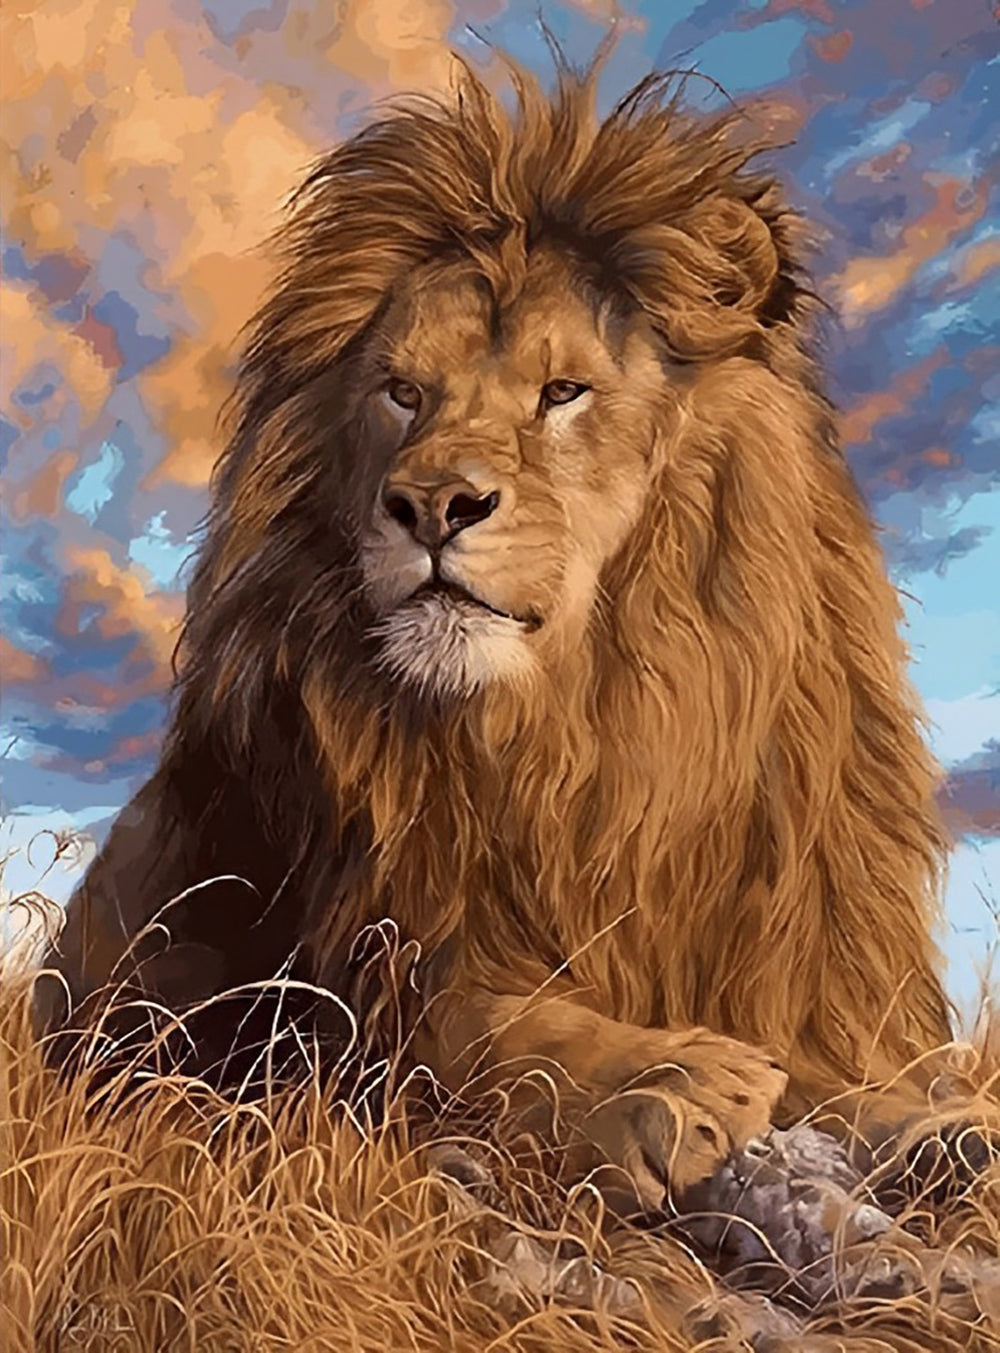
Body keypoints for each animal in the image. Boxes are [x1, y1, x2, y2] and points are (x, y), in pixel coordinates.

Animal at [35, 58, 959, 1206]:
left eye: (563, 392)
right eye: (401, 392)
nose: (432, 504)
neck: (581, 731)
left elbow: (851, 1075)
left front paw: (939, 1126)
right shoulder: (351, 979)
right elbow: (491, 1027)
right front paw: (665, 1081)